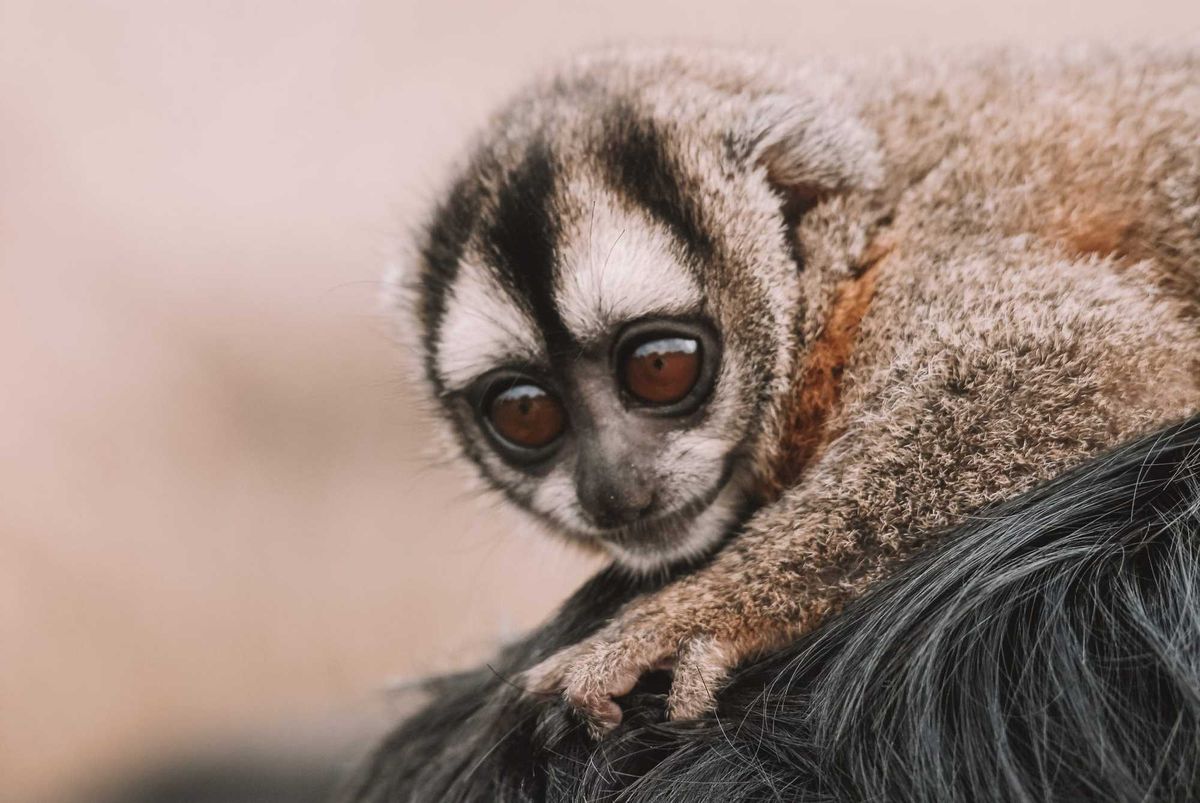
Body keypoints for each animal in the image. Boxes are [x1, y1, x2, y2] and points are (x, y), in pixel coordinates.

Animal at [392, 43, 1200, 736]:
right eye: (526, 412)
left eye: (659, 367)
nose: (614, 490)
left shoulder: (935, 254)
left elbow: (1089, 357)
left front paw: (689, 615)